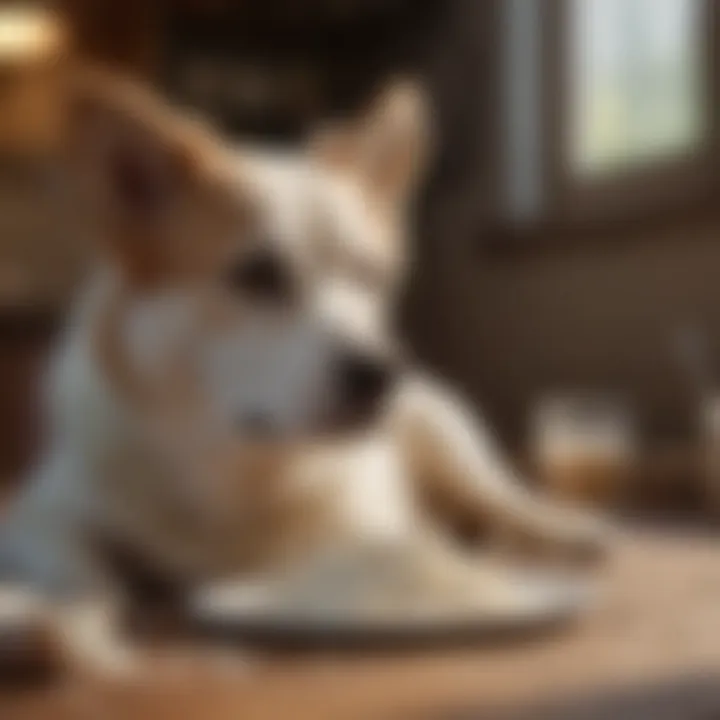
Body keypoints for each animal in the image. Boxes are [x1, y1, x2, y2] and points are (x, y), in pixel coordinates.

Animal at [0, 70, 608, 676]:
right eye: (258, 275)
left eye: (369, 275)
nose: (383, 373)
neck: (237, 471)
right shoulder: (38, 514)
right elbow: (81, 571)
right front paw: (68, 620)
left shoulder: (365, 528)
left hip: (444, 432)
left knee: (503, 498)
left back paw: (558, 532)